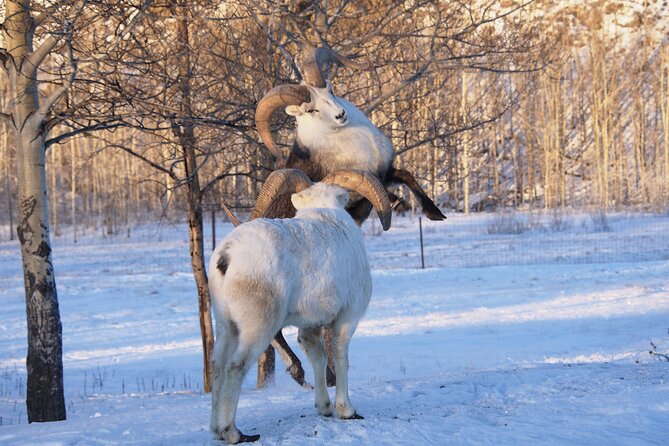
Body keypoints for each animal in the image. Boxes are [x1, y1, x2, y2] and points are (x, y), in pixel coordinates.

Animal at [206, 168, 388, 442]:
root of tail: (227, 256)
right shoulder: (346, 318)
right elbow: (340, 358)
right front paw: (347, 411)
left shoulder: (310, 326)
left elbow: (319, 360)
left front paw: (325, 408)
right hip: (257, 329)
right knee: (235, 367)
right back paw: (235, 433)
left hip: (227, 326)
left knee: (217, 364)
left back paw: (217, 431)